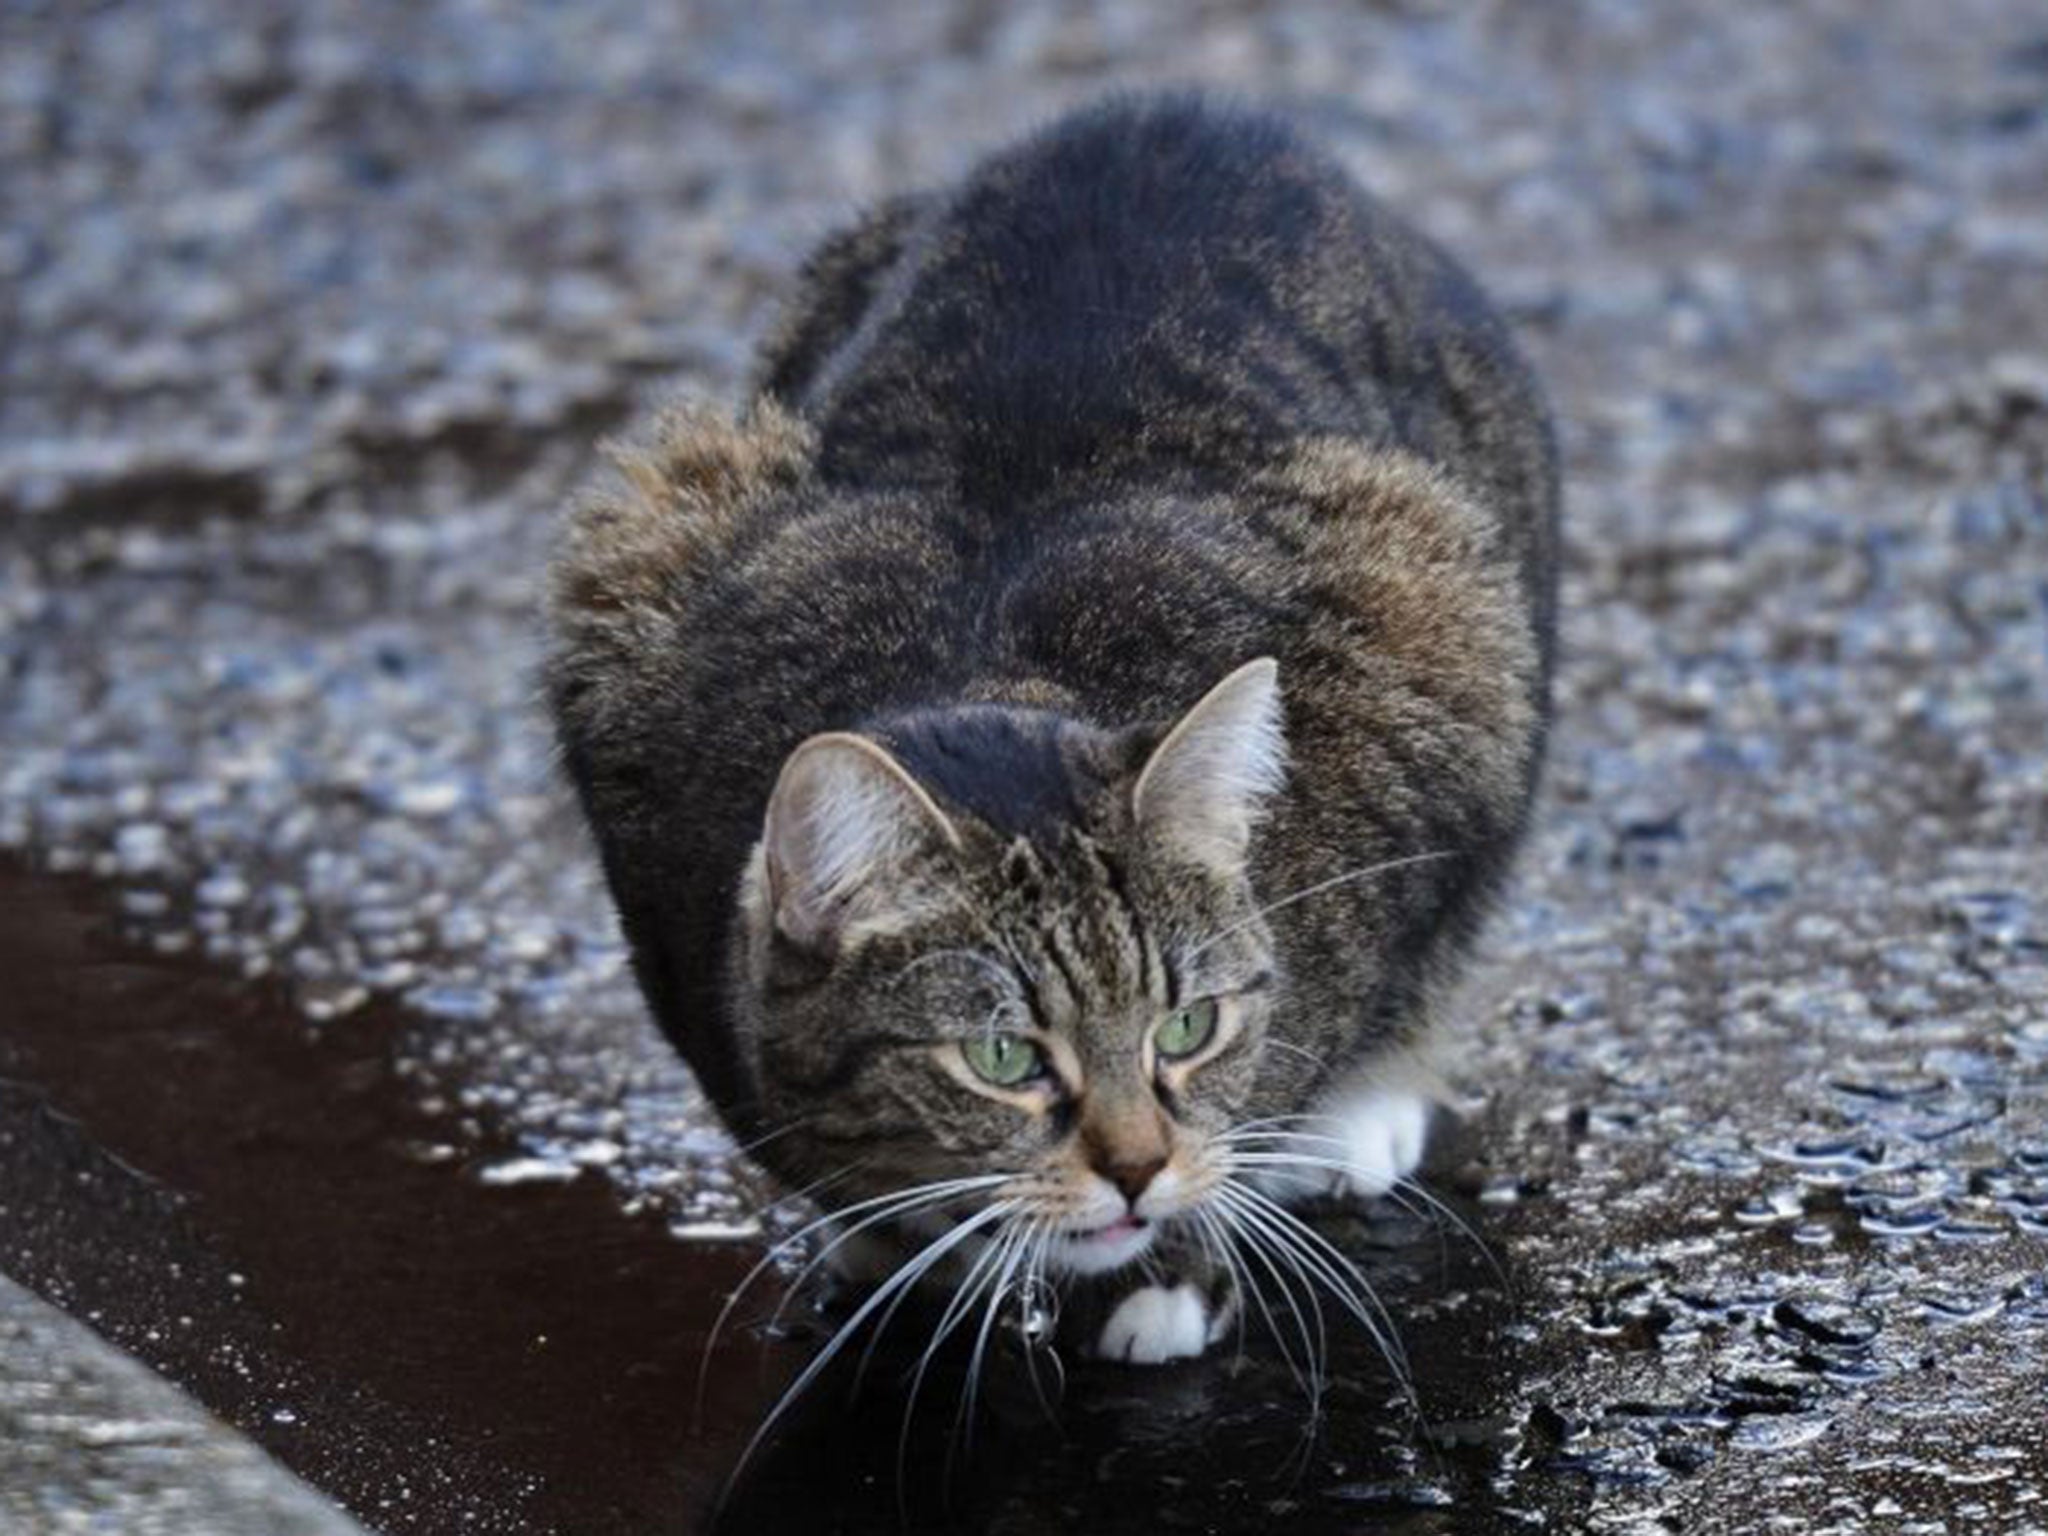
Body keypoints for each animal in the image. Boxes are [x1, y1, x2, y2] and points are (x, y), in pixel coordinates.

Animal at [544, 93, 1548, 1368]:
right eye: (1002, 1057)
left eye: (1186, 1027)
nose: (1134, 1170)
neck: (995, 666)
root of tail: (1174, 110)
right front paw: (893, 1233)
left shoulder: (1412, 631)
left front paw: (1174, 1266)